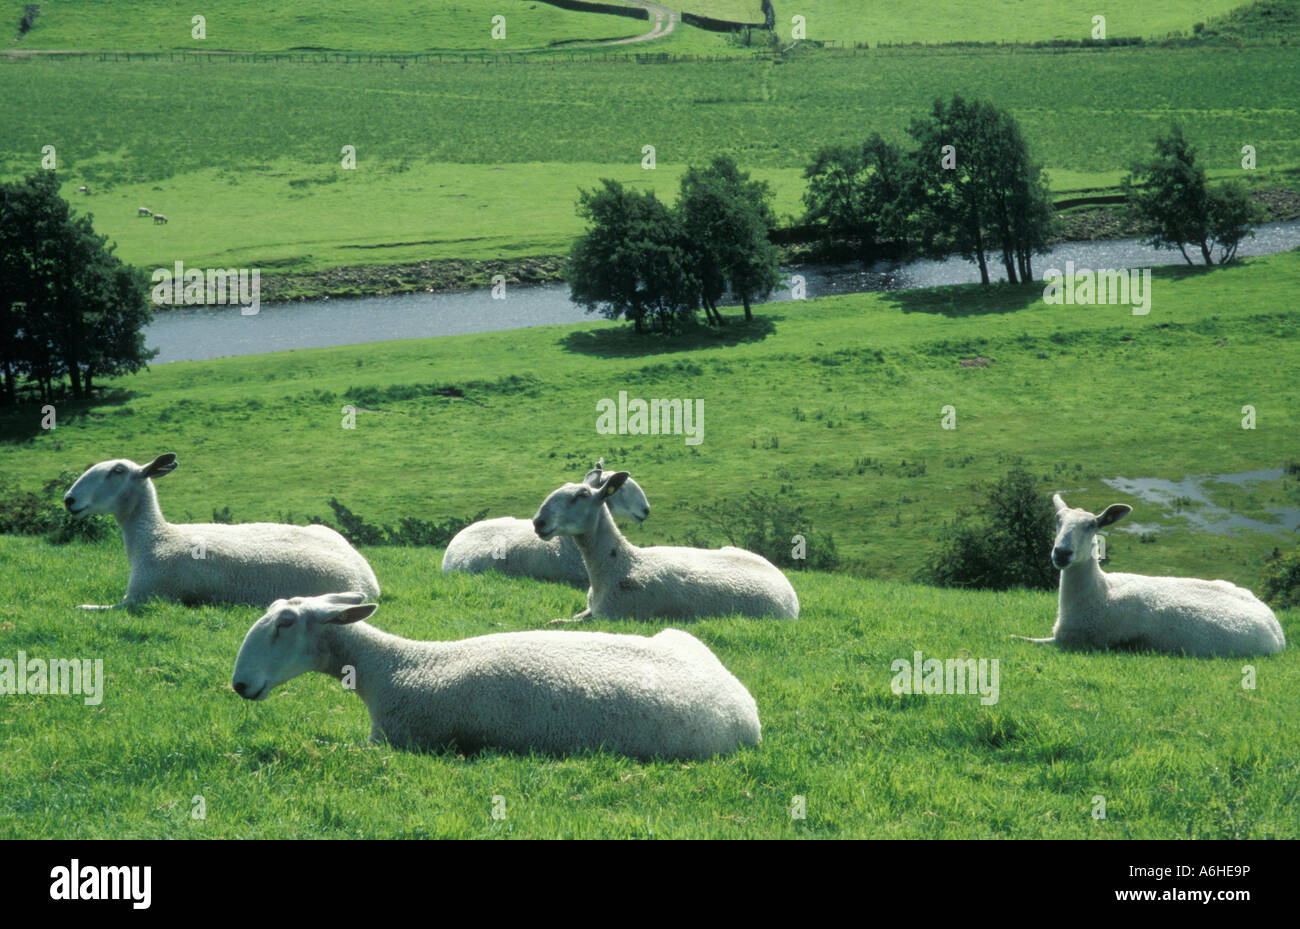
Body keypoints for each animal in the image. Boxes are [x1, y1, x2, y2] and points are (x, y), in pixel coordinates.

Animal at [530, 472, 795, 626]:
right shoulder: (590, 609)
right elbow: (555, 621)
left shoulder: (610, 616)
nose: (538, 522)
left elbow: (556, 624)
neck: (619, 563)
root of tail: (790, 591)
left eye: (581, 495)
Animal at [1008, 498, 1284, 657]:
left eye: (1092, 526)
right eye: (1058, 519)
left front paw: (1008, 637)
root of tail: (1278, 633)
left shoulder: (1072, 641)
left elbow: (1020, 639)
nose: (1062, 552)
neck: (1100, 591)